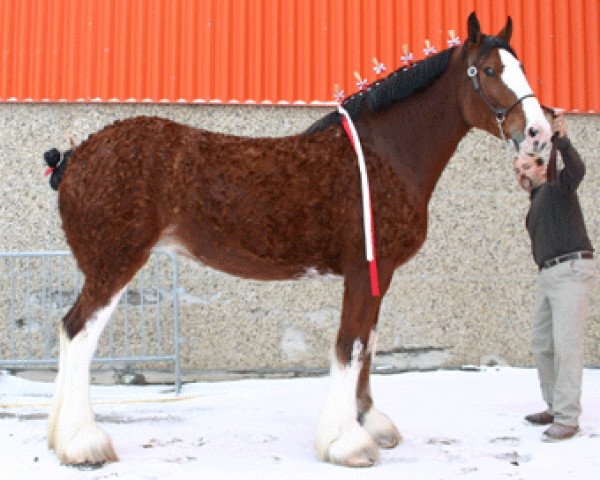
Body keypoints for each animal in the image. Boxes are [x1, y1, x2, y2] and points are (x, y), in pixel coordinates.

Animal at [44, 12, 552, 468]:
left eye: (524, 65)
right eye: (489, 71)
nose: (539, 134)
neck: (384, 155)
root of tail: (75, 156)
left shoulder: (379, 274)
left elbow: (368, 344)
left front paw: (370, 423)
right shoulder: (363, 270)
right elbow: (349, 346)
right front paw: (347, 443)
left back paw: (60, 439)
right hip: (115, 265)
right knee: (78, 333)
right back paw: (83, 444)